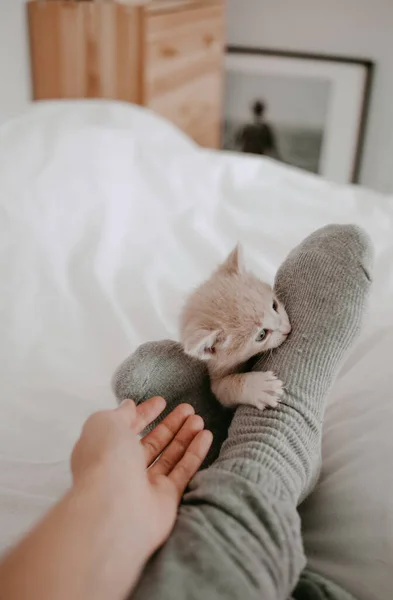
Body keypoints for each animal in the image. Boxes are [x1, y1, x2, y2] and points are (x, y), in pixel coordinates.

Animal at [179, 246, 290, 410]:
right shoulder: (216, 378)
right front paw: (260, 387)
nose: (288, 329)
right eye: (262, 335)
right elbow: (225, 389)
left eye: (274, 305)